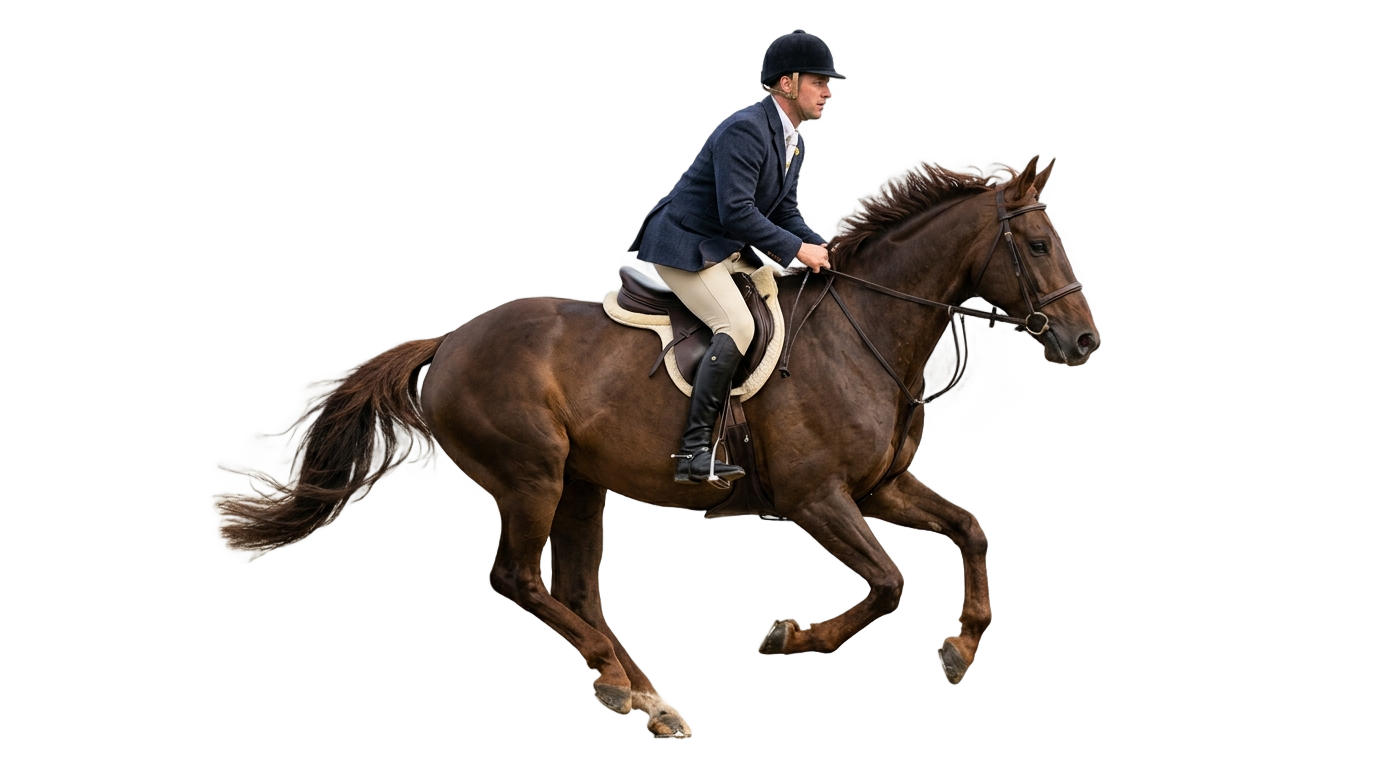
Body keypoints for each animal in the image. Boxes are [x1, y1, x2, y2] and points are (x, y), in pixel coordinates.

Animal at [218, 156, 1098, 737]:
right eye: (1040, 247)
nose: (1084, 341)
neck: (866, 335)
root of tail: (445, 342)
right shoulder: (817, 497)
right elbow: (887, 582)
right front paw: (797, 638)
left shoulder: (881, 489)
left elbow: (970, 530)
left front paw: (961, 647)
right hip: (531, 478)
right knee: (519, 580)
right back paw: (622, 689)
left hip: (578, 486)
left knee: (578, 595)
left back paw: (652, 700)